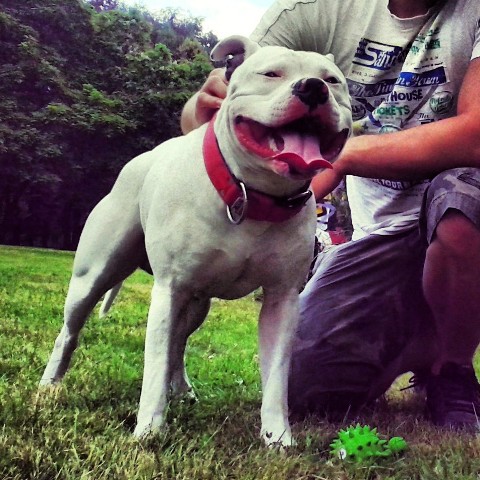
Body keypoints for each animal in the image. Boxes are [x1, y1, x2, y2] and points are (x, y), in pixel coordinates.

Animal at [40, 35, 352, 448]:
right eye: (271, 74)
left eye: (332, 81)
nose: (313, 88)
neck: (251, 196)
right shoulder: (168, 290)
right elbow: (153, 364)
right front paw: (149, 430)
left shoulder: (282, 301)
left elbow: (276, 378)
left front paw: (277, 437)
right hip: (93, 277)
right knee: (71, 332)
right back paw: (50, 384)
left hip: (196, 303)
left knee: (178, 343)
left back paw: (181, 389)